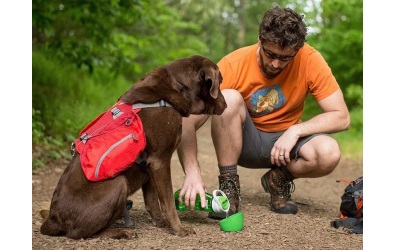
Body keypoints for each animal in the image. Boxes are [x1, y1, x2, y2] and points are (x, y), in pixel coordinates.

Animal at [40, 55, 228, 239]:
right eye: (219, 81)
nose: (226, 105)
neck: (176, 87)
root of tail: (53, 219)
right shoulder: (160, 161)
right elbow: (167, 202)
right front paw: (179, 229)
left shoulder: (150, 167)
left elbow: (153, 202)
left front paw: (162, 224)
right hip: (119, 184)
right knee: (82, 233)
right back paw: (122, 232)